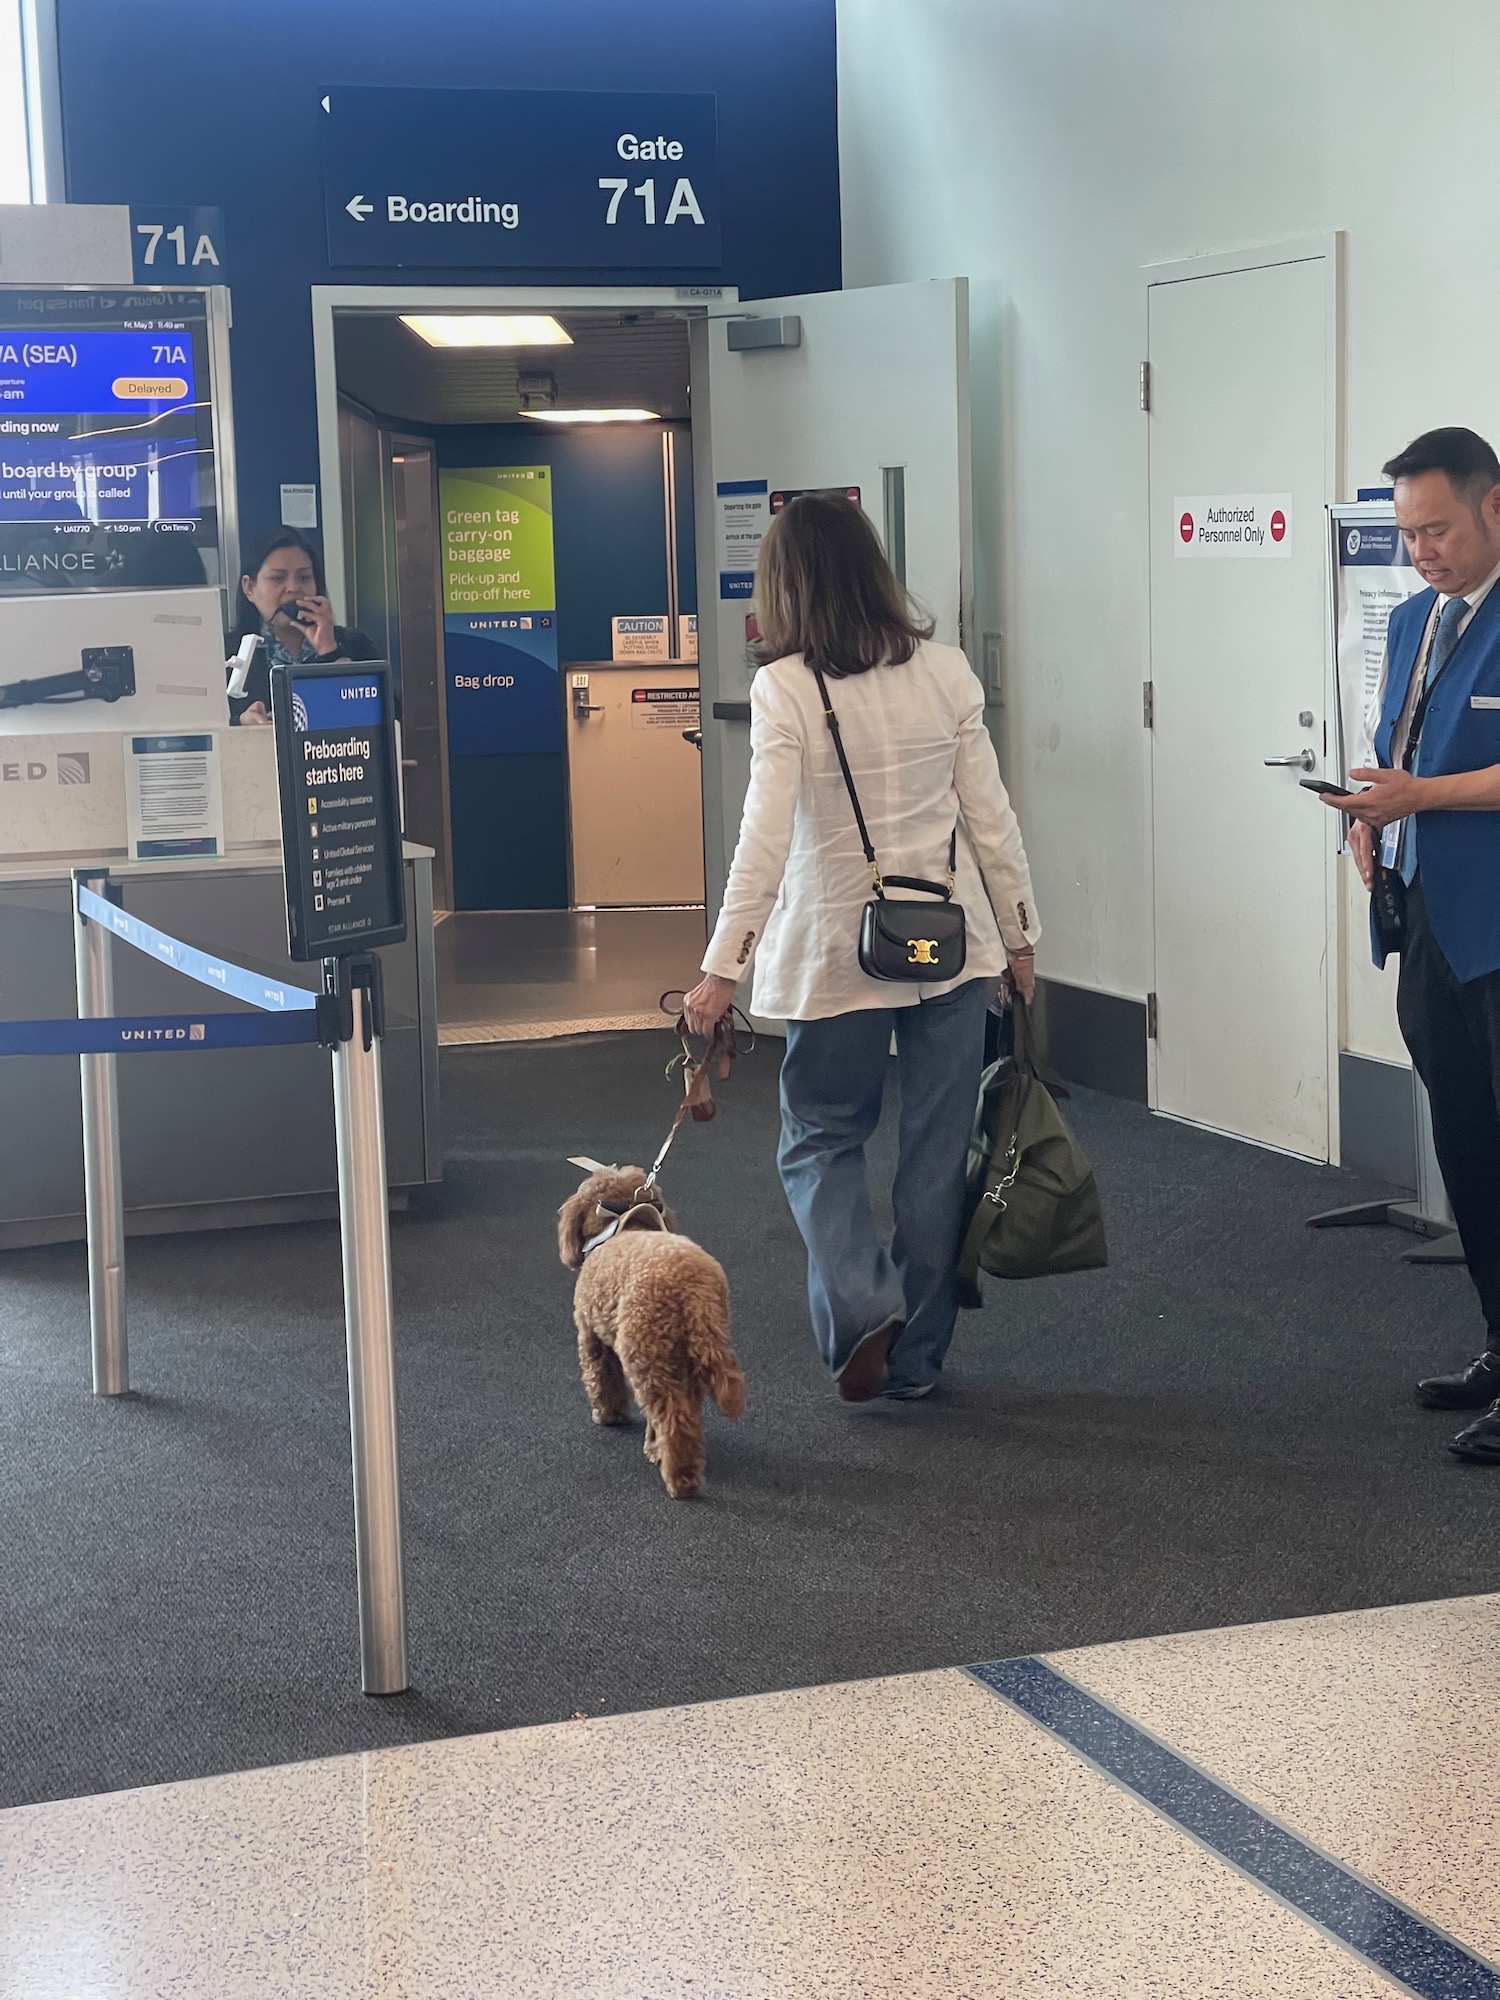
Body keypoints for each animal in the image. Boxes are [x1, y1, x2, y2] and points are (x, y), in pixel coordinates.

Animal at [560, 1160, 748, 1504]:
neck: (621, 1227)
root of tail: (693, 1288)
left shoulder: (592, 1337)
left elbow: (603, 1380)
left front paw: (609, 1415)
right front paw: (650, 1444)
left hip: (647, 1350)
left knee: (673, 1418)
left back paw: (680, 1481)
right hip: (688, 1352)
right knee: (682, 1412)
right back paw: (662, 1452)